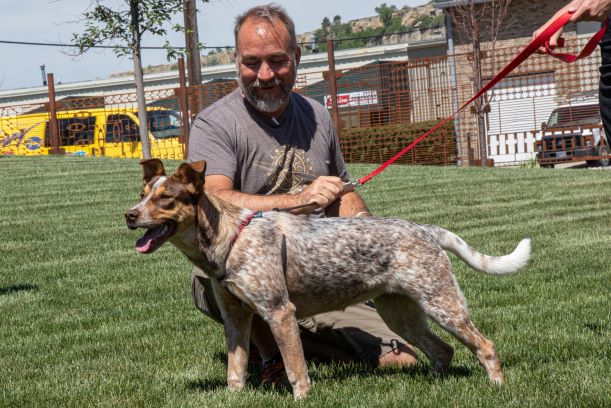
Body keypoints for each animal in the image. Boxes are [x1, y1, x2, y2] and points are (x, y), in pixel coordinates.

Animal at [124, 159, 532, 398]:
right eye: (141, 194)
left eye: (165, 198)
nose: (129, 215)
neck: (229, 240)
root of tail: (427, 230)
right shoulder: (235, 318)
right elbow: (235, 372)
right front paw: (233, 398)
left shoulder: (279, 313)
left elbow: (296, 371)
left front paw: (302, 397)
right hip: (400, 314)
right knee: (442, 351)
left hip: (442, 305)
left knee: (485, 346)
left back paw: (497, 388)